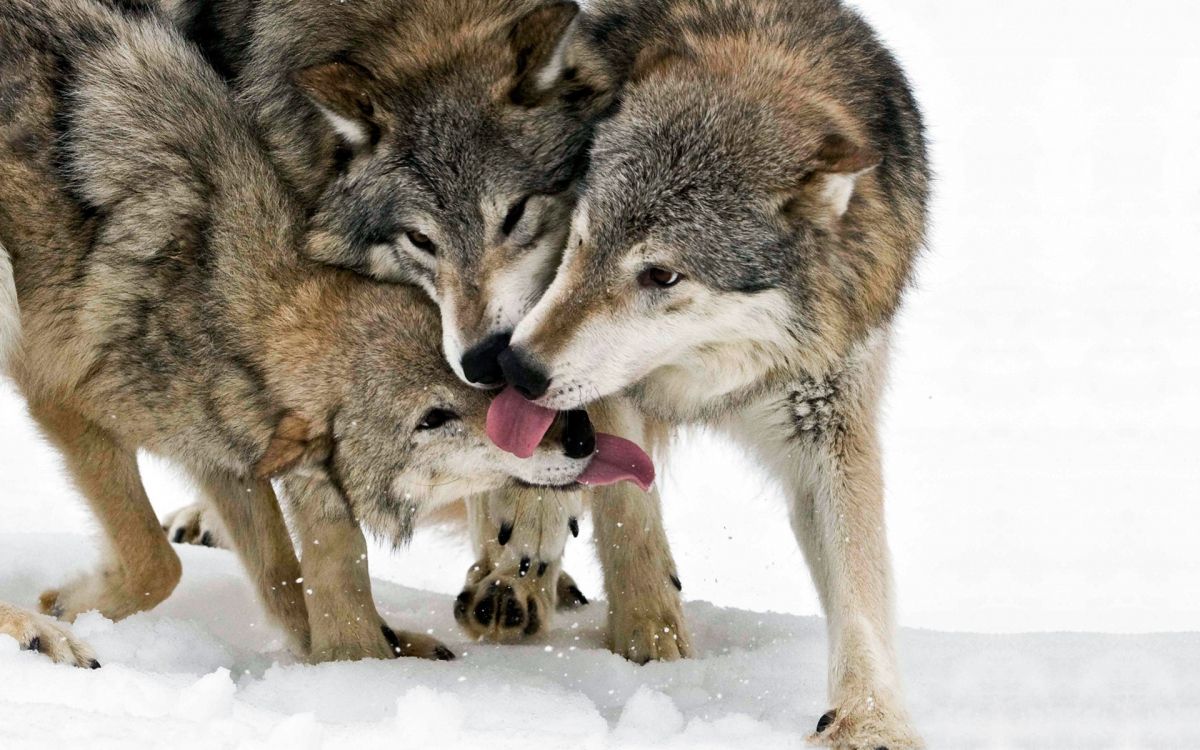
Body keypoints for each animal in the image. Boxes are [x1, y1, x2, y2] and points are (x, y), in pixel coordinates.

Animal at [0, 0, 609, 667]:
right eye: (432, 419)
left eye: (492, 386)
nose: (580, 437)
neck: (219, 287)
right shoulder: (65, 405)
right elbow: (159, 564)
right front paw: (66, 605)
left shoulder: (227, 452)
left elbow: (285, 578)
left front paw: (357, 653)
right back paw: (34, 631)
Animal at [482, 0, 931, 744]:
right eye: (582, 238)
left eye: (662, 275)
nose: (517, 368)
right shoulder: (605, 392)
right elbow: (628, 513)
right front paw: (650, 643)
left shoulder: (830, 421)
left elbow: (862, 585)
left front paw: (870, 722)